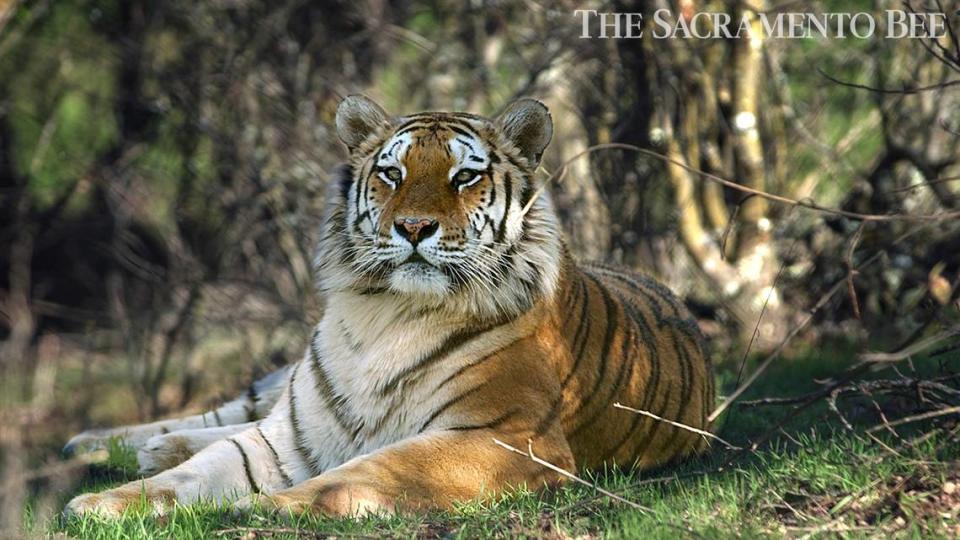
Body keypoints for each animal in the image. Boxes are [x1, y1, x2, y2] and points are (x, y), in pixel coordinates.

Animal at [65, 95, 712, 516]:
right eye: (392, 173)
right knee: (229, 412)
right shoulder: (291, 434)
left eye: (464, 177)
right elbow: (199, 470)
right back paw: (114, 445)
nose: (415, 227)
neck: (387, 314)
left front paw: (269, 508)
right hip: (275, 390)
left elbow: (369, 470)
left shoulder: (506, 438)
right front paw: (98, 505)